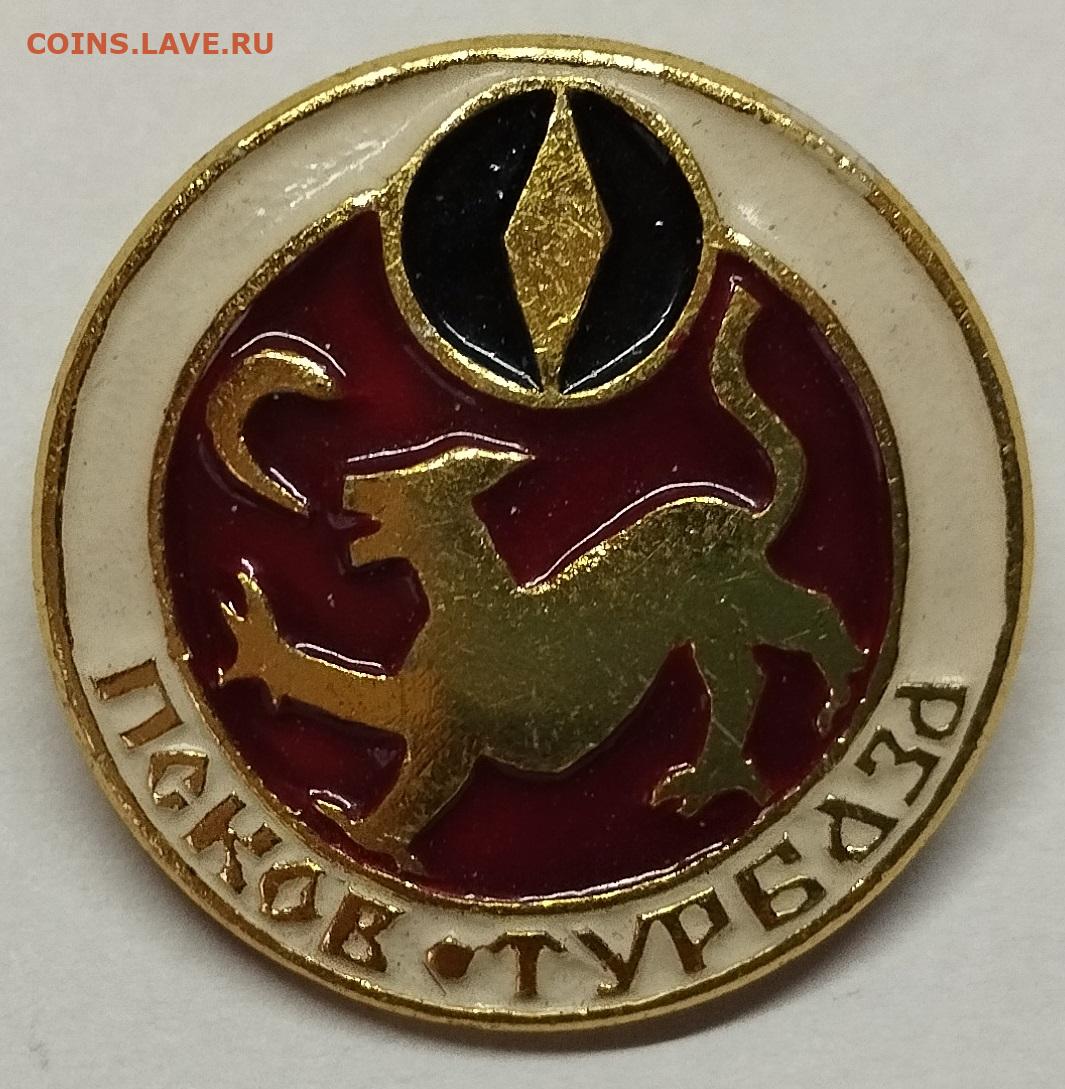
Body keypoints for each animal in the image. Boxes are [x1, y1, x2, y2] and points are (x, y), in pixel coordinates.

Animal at [215, 289, 863, 865]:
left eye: (404, 477)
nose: (348, 482)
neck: (460, 595)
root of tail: (744, 514)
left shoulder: (449, 736)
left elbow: (411, 794)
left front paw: (371, 835)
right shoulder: (420, 705)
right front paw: (265, 648)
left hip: (734, 603)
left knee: (799, 627)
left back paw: (819, 694)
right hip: (719, 622)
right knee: (750, 676)